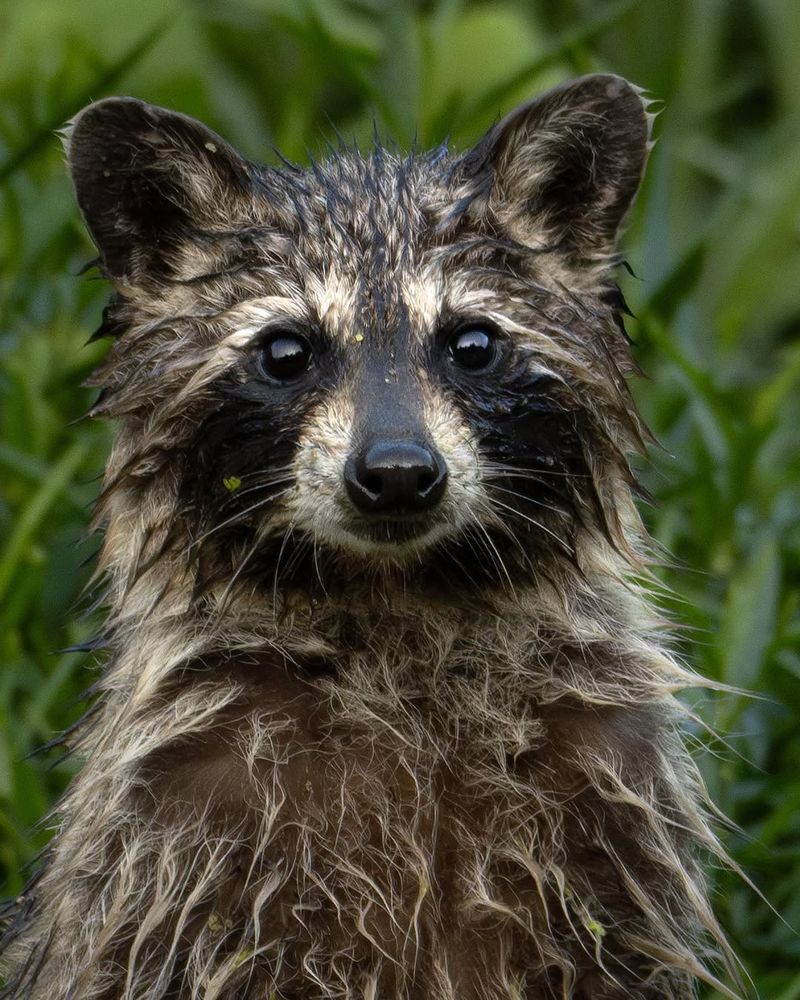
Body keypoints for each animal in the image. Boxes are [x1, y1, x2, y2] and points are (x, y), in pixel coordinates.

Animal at [0, 75, 742, 999]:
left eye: (472, 343)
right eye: (286, 351)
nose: (395, 472)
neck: (395, 599)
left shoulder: (614, 795)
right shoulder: (165, 837)